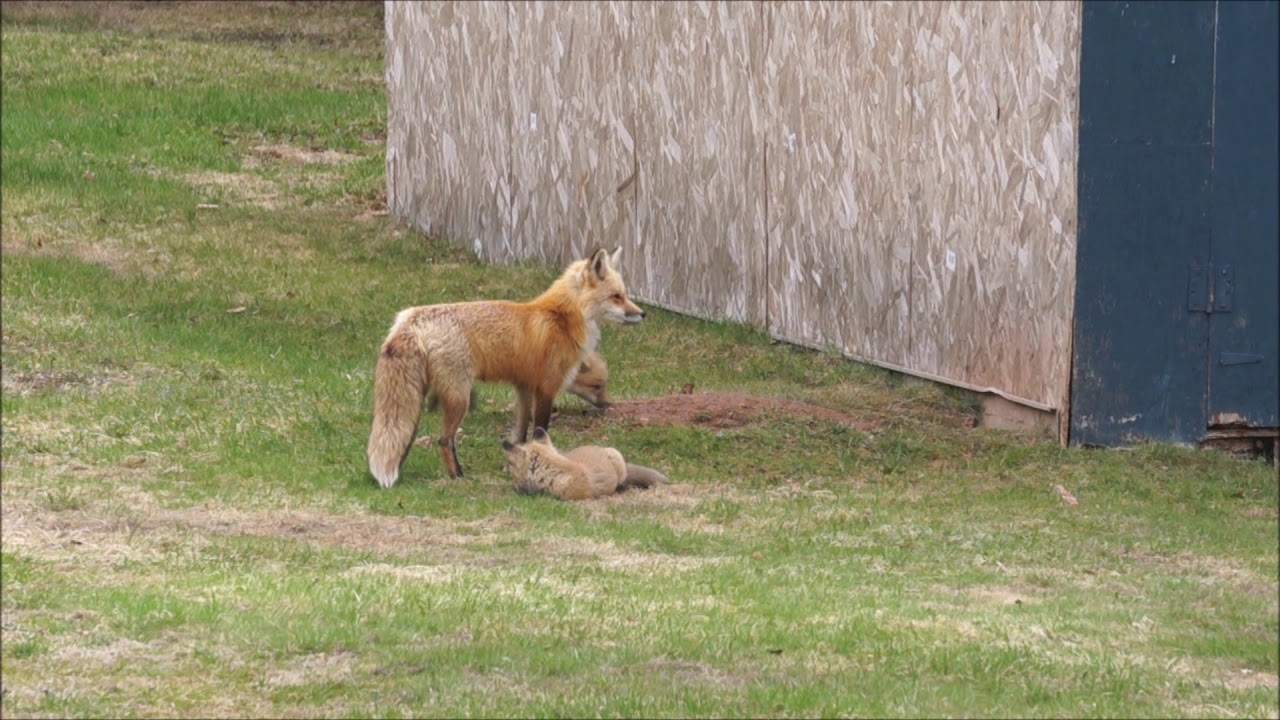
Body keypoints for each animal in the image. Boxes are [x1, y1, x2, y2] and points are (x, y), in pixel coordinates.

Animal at [367, 247, 643, 488]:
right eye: (617, 297)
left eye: (625, 294)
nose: (642, 314)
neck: (561, 319)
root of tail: (409, 319)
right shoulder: (546, 388)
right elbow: (540, 429)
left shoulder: (523, 388)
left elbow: (519, 434)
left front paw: (512, 463)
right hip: (459, 398)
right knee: (444, 440)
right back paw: (458, 477)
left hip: (417, 396)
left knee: (404, 437)